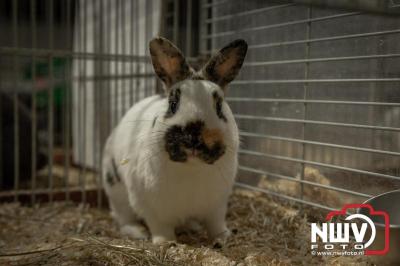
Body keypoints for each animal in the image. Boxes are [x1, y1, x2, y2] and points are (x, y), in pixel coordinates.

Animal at [102, 36, 247, 244]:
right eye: (173, 104)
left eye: (219, 106)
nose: (194, 136)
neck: (192, 167)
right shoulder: (151, 207)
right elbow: (160, 227)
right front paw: (166, 243)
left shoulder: (217, 206)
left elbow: (216, 224)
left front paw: (223, 238)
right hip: (116, 192)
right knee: (123, 219)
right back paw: (137, 231)